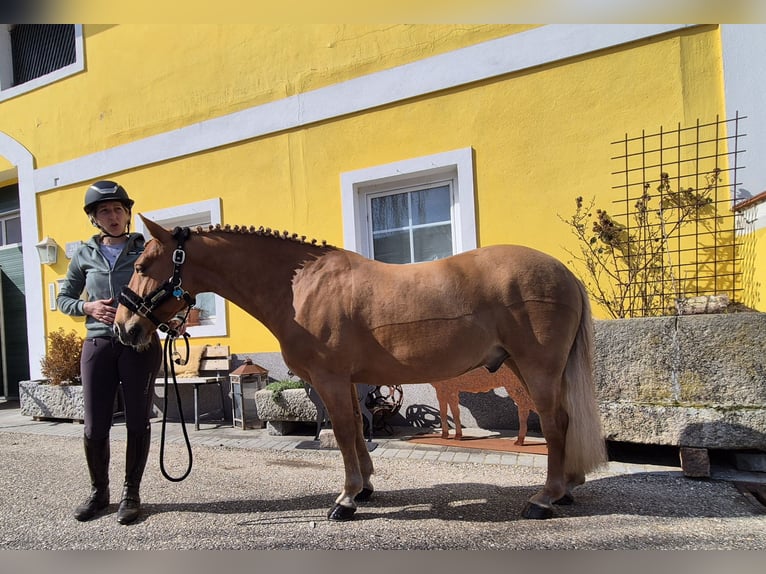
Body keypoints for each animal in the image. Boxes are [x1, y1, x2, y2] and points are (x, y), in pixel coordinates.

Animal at [114, 215, 607, 521]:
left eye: (144, 263)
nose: (125, 328)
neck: (299, 287)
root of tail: (564, 272)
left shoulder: (329, 380)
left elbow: (345, 432)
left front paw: (346, 500)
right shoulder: (347, 382)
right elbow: (354, 430)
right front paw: (365, 488)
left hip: (536, 369)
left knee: (555, 424)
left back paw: (544, 499)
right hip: (527, 368)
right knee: (563, 421)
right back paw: (564, 489)